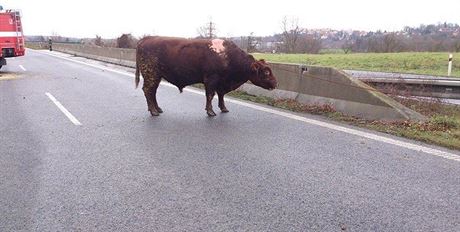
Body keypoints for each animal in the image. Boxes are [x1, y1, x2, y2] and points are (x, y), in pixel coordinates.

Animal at [133, 35, 276, 116]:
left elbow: (221, 95)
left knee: (152, 92)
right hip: (151, 75)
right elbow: (210, 95)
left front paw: (223, 108)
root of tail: (147, 38)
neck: (227, 56)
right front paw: (210, 112)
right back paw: (154, 111)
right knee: (148, 90)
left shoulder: (221, 83)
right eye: (266, 72)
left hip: (156, 77)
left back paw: (157, 109)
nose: (275, 83)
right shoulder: (211, 80)